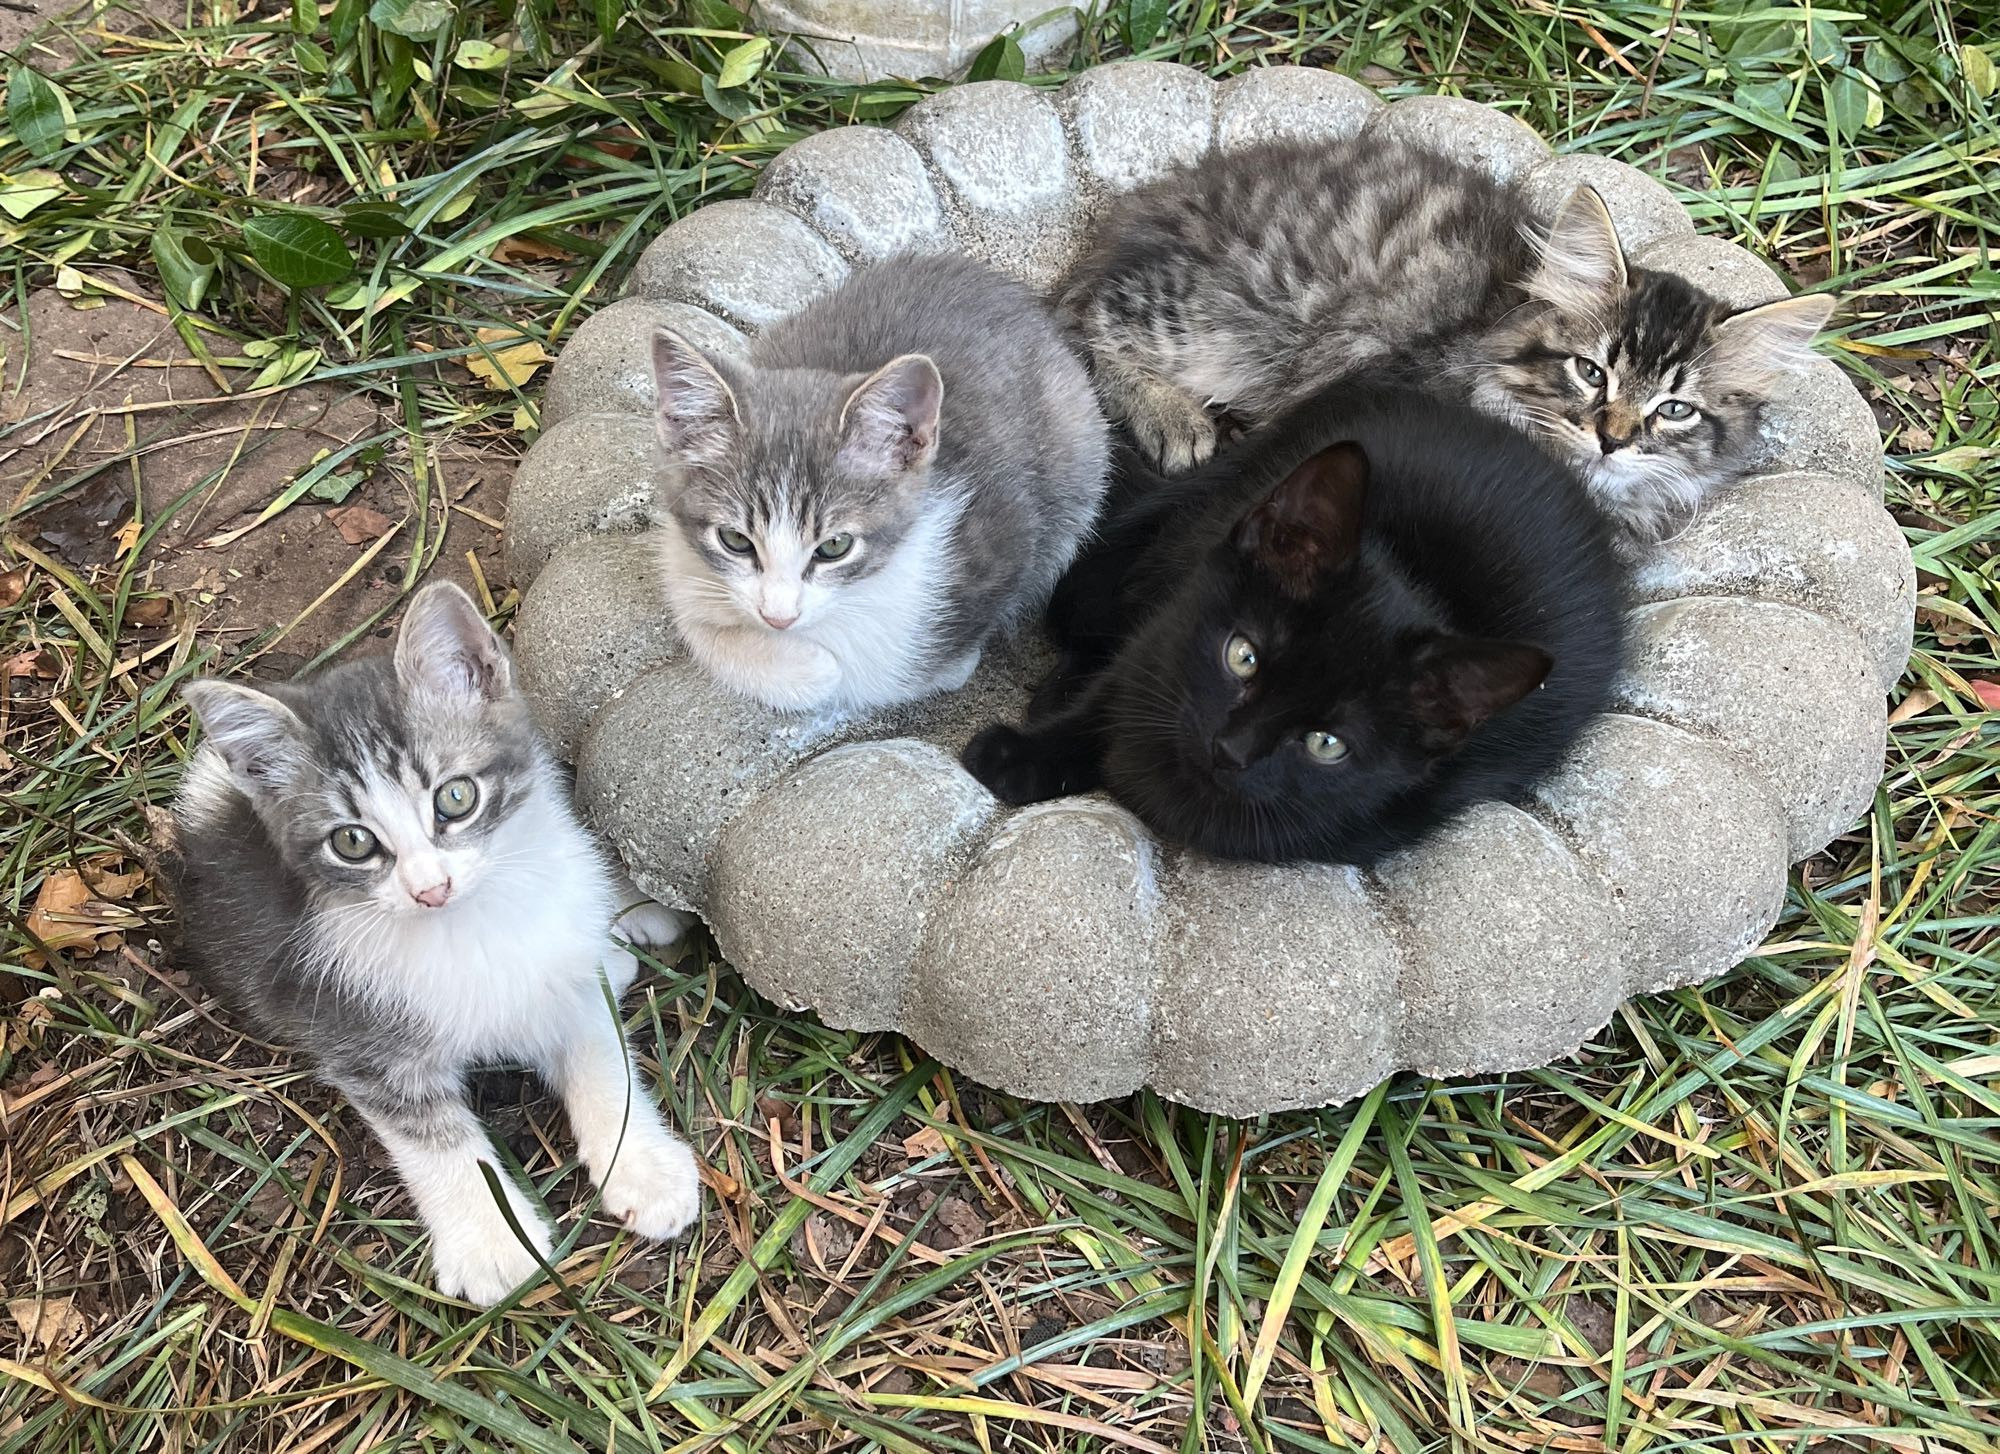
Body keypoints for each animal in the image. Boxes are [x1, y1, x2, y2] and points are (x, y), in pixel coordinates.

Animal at [162, 580, 704, 1312]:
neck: (473, 927)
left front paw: (644, 1166)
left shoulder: (560, 974)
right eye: (353, 841)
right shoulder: (358, 1036)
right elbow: (437, 1140)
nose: (429, 888)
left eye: (456, 798)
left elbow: (604, 1061)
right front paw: (494, 1243)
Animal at [652, 252, 1112, 716]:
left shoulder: (1005, 532)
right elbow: (698, 621)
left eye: (835, 546)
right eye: (735, 540)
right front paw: (808, 667)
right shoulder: (681, 561)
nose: (779, 618)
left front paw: (947, 667)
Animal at [960, 390, 1632, 864]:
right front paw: (1025, 752)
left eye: (1326, 744)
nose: (1229, 750)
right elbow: (1114, 690)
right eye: (1244, 657)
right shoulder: (1168, 623)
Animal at [1064, 136, 1840, 544]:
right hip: (1225, 313)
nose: (1612, 439)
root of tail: (1157, 205)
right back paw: (1173, 417)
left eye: (1675, 410)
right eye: (1591, 372)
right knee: (1082, 322)